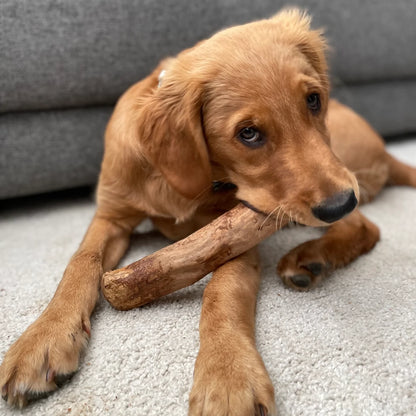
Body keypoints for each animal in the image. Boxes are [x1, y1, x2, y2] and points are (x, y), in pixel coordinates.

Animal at [0, 7, 416, 416]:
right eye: (248, 133)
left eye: (313, 100)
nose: (339, 202)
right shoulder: (111, 214)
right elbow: (80, 262)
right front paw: (43, 340)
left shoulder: (234, 235)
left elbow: (222, 291)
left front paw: (227, 375)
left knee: (367, 226)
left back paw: (312, 257)